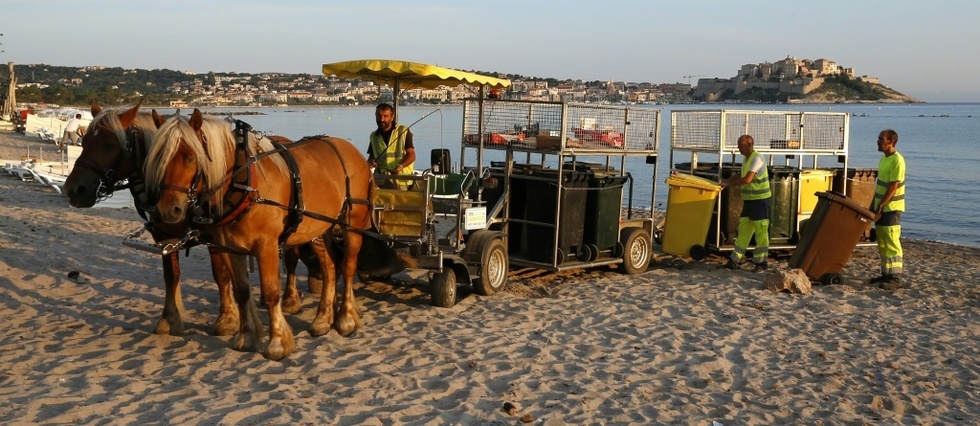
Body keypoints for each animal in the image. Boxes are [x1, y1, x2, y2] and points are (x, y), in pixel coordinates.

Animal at [62, 102, 322, 336]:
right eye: (84, 141)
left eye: (108, 144)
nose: (74, 189)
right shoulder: (165, 235)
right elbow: (171, 276)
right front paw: (169, 319)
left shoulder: (213, 236)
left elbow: (221, 275)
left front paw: (227, 319)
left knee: (292, 255)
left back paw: (292, 297)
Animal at [145, 110, 382, 360]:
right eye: (158, 158)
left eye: (190, 157)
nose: (168, 210)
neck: (243, 182)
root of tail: (351, 150)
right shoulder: (230, 249)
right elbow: (242, 292)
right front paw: (247, 337)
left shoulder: (266, 246)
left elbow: (270, 293)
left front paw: (277, 342)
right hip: (320, 229)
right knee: (330, 268)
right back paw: (323, 320)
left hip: (351, 225)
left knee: (348, 267)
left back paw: (346, 318)